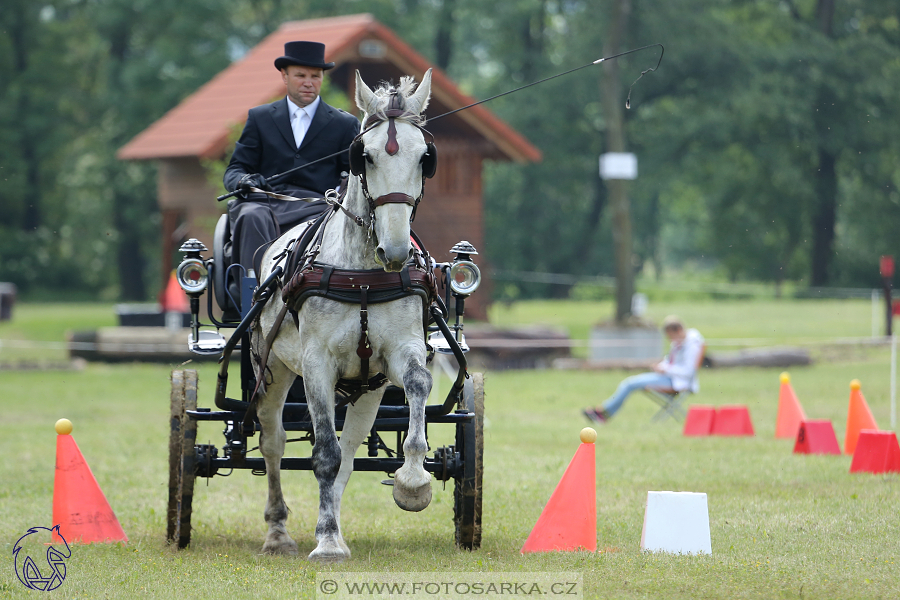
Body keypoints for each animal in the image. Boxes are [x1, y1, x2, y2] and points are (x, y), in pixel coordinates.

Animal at [253, 70, 436, 564]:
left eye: (424, 157)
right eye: (364, 156)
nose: (395, 251)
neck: (364, 276)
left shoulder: (402, 352)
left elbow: (418, 387)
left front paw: (413, 483)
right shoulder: (316, 364)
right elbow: (323, 454)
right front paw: (327, 542)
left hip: (368, 389)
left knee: (351, 449)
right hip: (273, 367)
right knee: (273, 440)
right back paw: (280, 532)